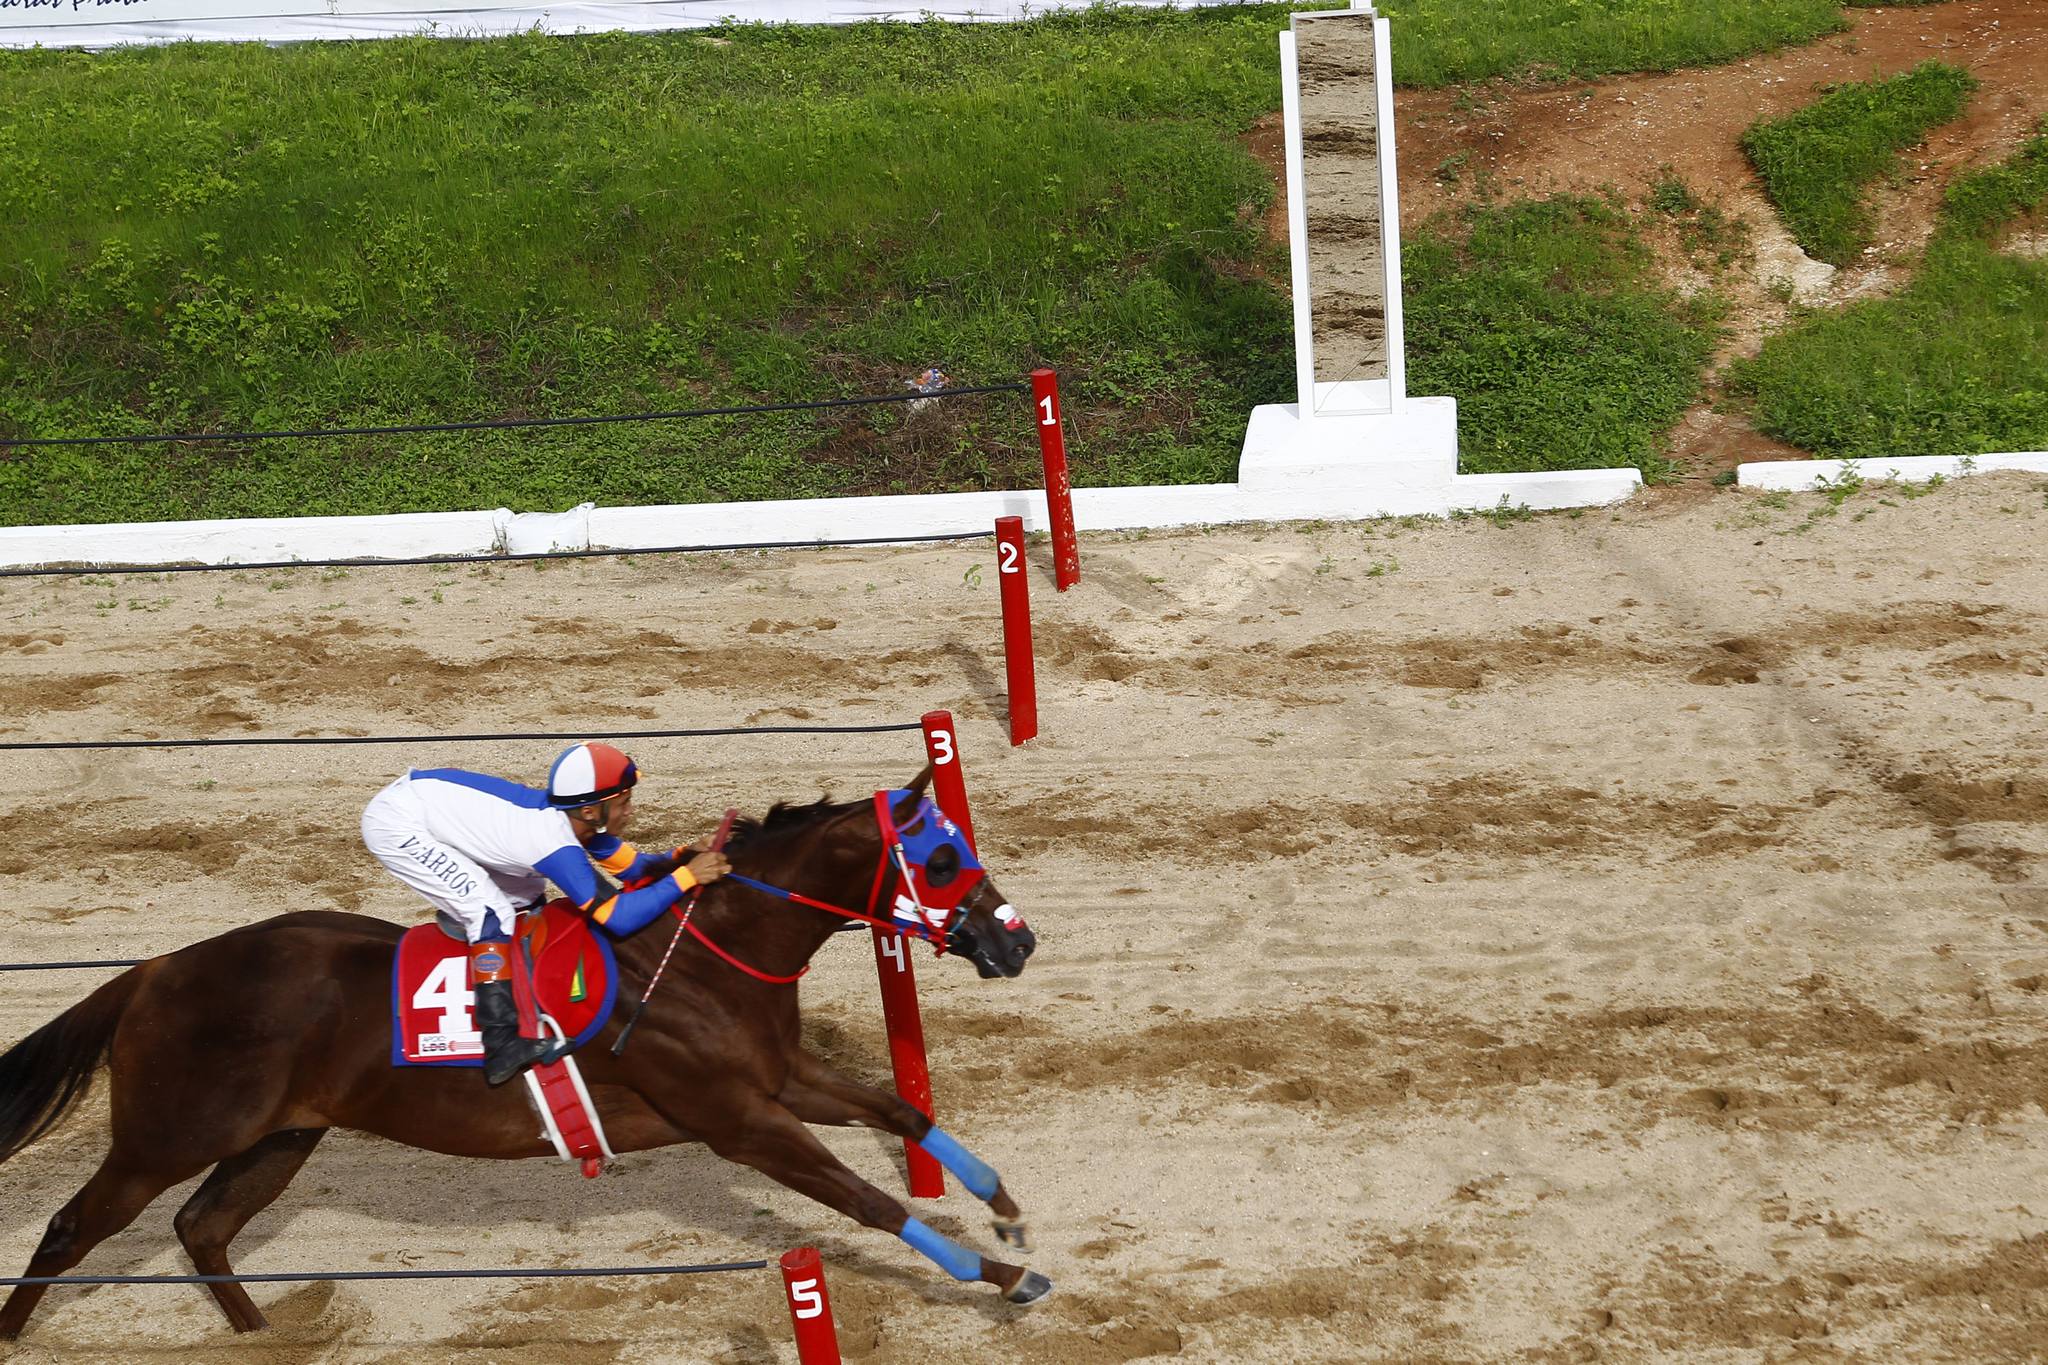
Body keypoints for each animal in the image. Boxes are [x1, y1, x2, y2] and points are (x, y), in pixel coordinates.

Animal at [0, 777, 1043, 1340]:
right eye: (940, 859)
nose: (1016, 938)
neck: (699, 951)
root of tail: (154, 970)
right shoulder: (741, 1120)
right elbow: (869, 1200)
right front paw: (1003, 1276)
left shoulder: (779, 1080)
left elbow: (902, 1111)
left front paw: (1006, 1207)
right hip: (168, 1134)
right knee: (72, 1226)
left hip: (280, 1134)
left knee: (202, 1226)